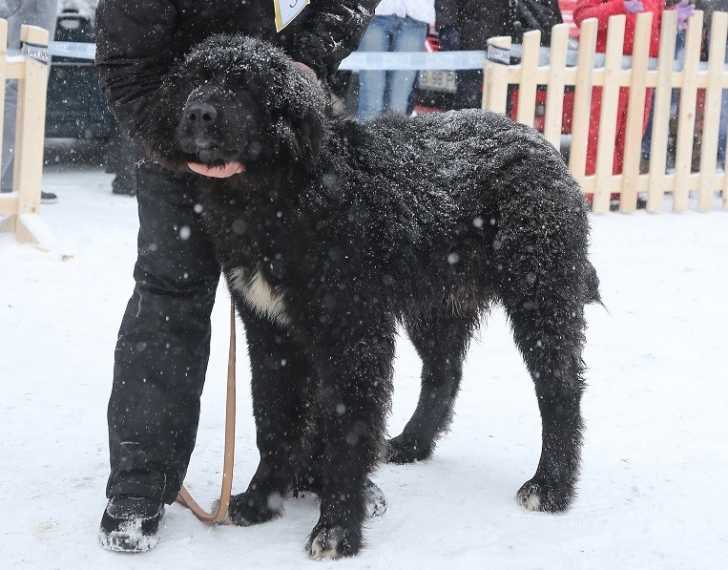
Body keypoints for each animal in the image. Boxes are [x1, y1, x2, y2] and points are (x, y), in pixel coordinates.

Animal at [143, 34, 600, 559]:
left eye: (244, 85)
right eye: (193, 80)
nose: (198, 112)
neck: (280, 196)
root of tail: (540, 143)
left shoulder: (353, 332)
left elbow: (345, 430)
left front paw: (337, 529)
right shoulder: (271, 332)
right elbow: (275, 419)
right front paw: (261, 501)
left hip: (539, 294)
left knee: (560, 388)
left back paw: (551, 486)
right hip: (434, 304)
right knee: (445, 373)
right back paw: (413, 444)